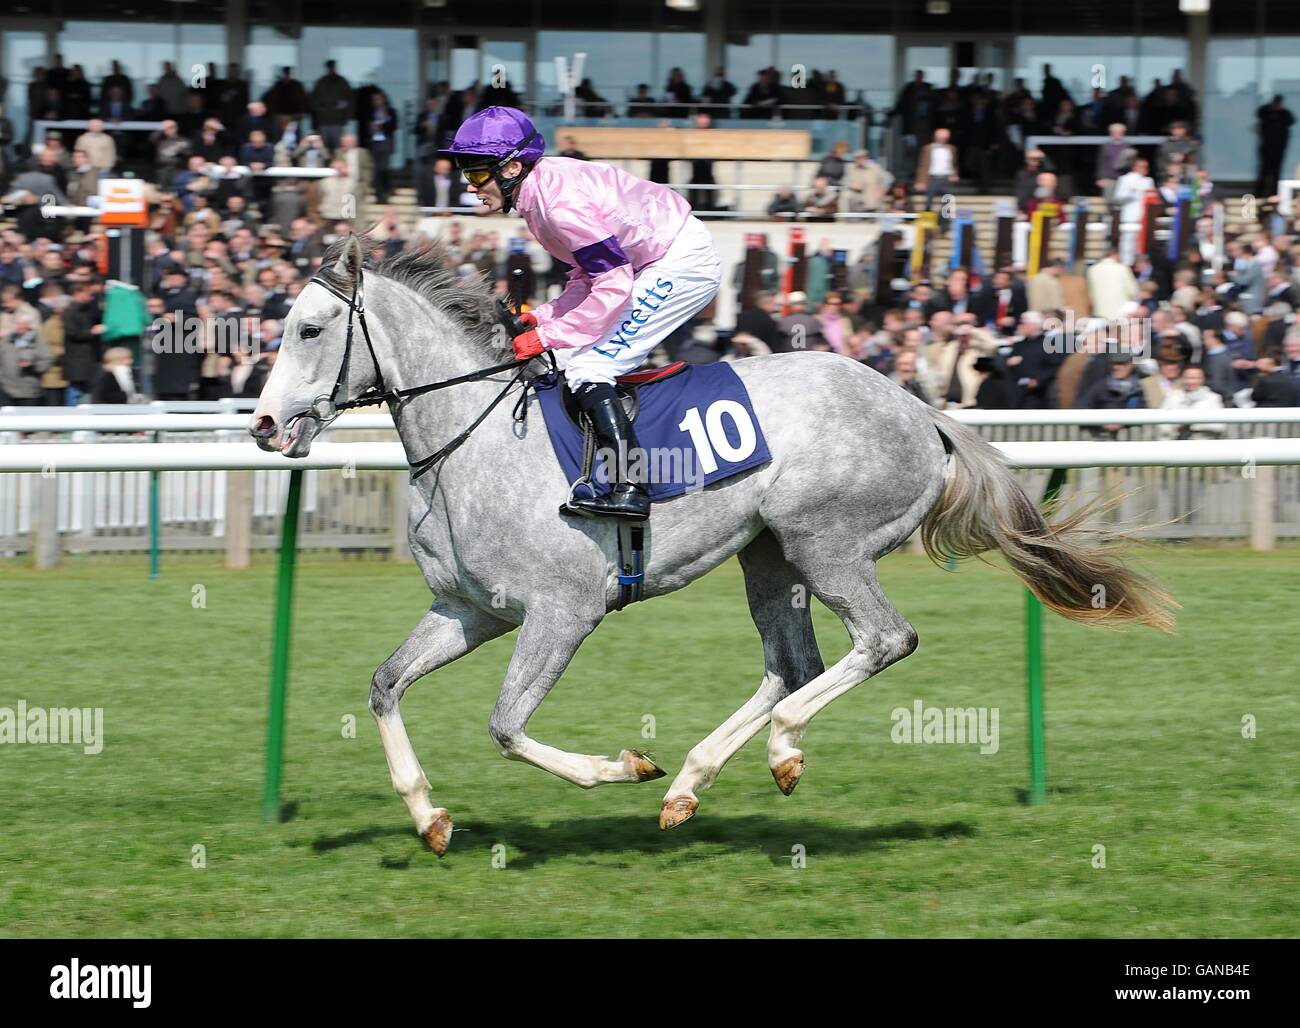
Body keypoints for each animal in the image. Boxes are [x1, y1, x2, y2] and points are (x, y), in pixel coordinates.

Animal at [248, 237, 1175, 857]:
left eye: (311, 328)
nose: (261, 424)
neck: (471, 442)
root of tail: (921, 409)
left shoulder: (562, 611)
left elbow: (507, 725)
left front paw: (625, 767)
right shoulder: (469, 610)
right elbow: (384, 685)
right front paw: (428, 816)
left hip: (824, 540)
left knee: (883, 640)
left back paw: (778, 750)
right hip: (769, 555)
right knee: (793, 664)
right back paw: (692, 784)